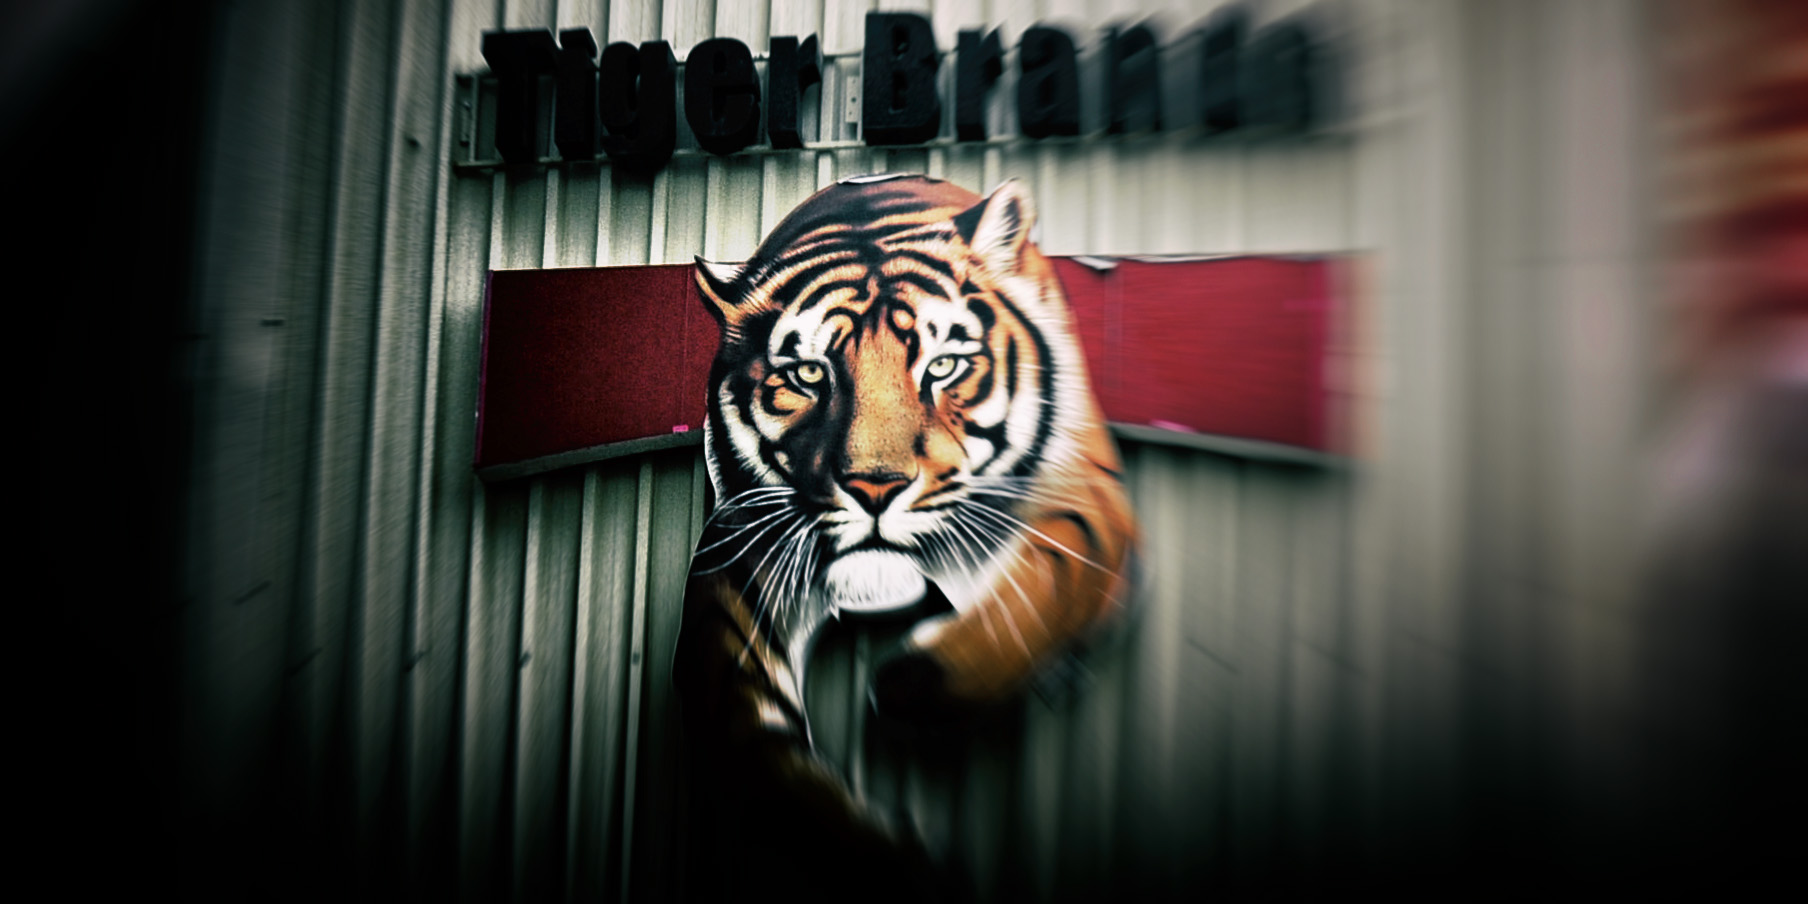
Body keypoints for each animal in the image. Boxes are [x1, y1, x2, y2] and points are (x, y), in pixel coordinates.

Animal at [671, 173, 1137, 888]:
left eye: (943, 366)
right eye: (809, 374)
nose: (874, 489)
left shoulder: (1080, 494)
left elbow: (1035, 599)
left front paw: (908, 686)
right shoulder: (743, 538)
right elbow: (744, 722)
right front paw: (874, 850)